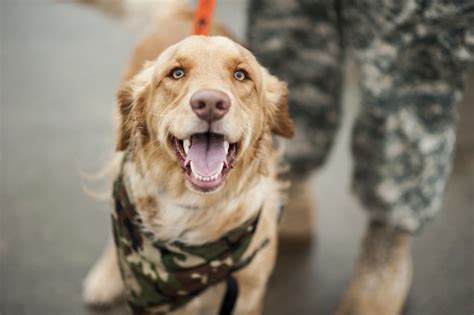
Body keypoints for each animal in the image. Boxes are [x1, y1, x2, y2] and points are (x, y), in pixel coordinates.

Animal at [83, 1, 294, 314]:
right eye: (177, 73)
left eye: (241, 75)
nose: (210, 103)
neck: (192, 207)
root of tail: (182, 11)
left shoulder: (248, 293)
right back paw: (104, 278)